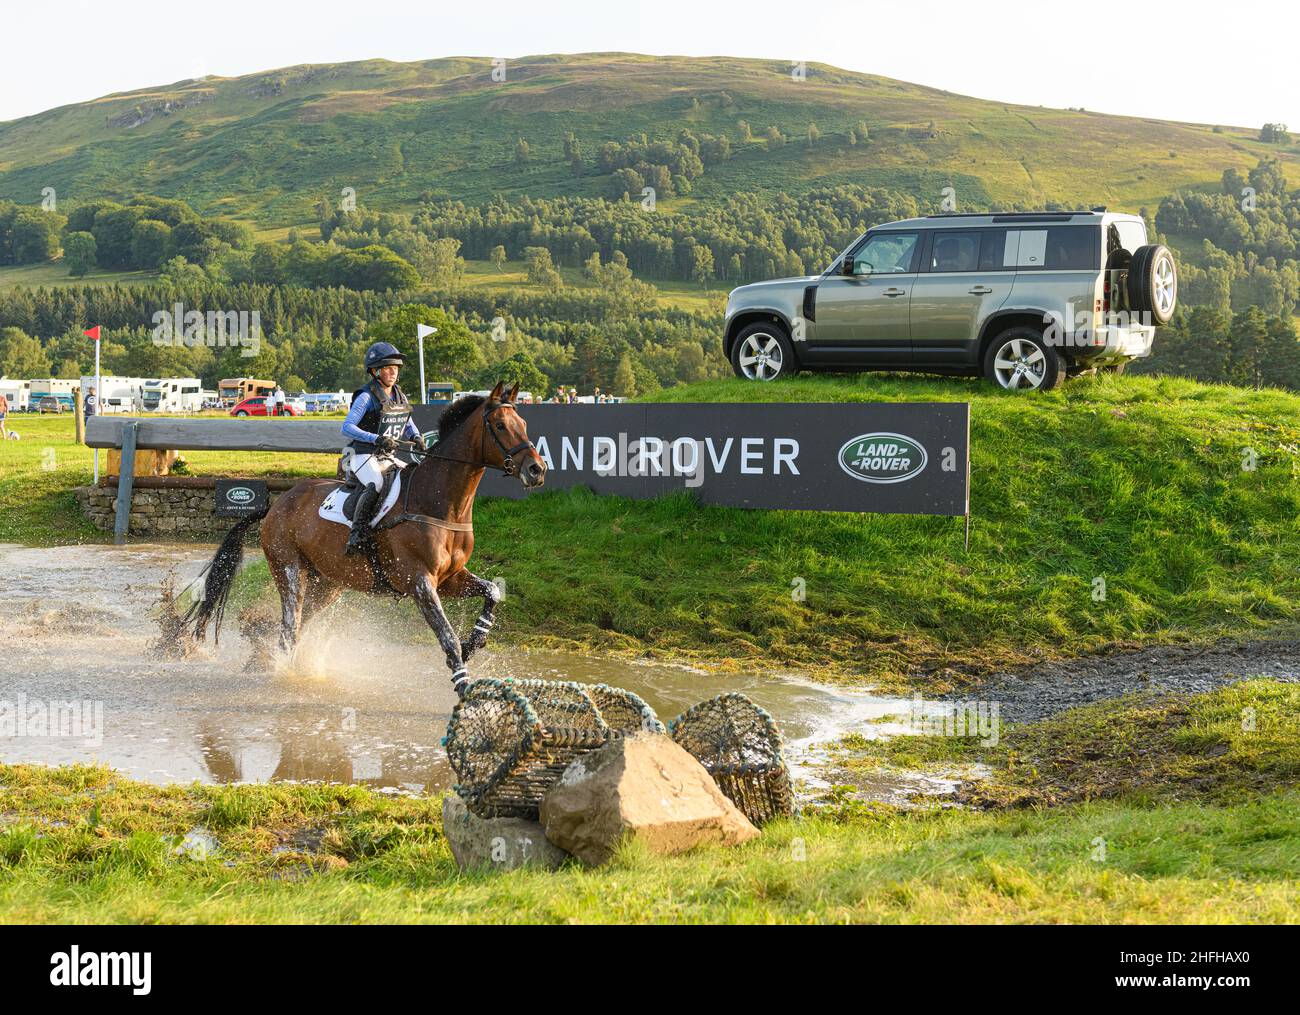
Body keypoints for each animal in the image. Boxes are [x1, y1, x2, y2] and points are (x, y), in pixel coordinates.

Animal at [183, 379, 543, 696]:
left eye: (524, 422)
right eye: (500, 425)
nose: (537, 470)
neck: (440, 503)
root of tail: (276, 504)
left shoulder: (450, 578)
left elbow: (493, 591)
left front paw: (475, 642)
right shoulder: (420, 582)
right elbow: (447, 636)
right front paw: (463, 686)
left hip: (327, 583)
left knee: (298, 625)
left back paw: (268, 661)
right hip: (289, 570)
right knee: (289, 627)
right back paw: (280, 673)